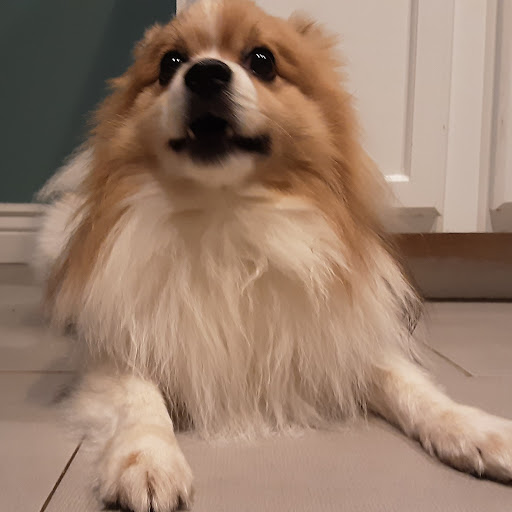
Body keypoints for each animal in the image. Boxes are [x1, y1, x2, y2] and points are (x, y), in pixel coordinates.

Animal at [35, 1, 512, 510]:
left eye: (262, 60)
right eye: (170, 63)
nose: (205, 73)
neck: (226, 218)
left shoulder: (335, 338)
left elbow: (413, 387)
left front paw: (475, 429)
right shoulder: (119, 349)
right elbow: (141, 403)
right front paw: (147, 460)